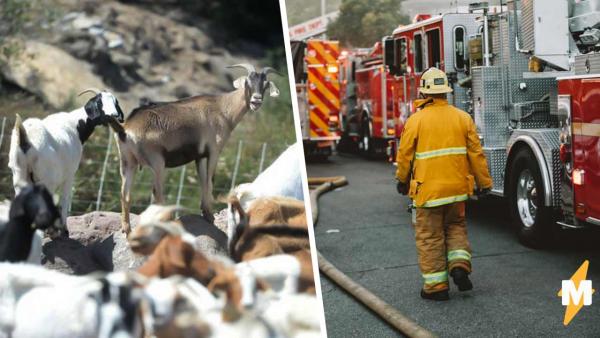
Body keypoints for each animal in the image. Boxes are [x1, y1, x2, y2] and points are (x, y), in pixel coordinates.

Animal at [7, 88, 124, 224]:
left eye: (115, 102)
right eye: (99, 102)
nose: (114, 115)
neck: (76, 125)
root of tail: (25, 137)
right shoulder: (70, 174)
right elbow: (65, 201)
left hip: (19, 177)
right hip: (46, 180)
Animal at [110, 63, 282, 234]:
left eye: (266, 84)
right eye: (247, 81)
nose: (256, 100)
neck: (222, 108)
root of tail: (125, 128)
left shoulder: (199, 156)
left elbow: (203, 180)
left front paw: (205, 212)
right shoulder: (213, 151)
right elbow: (210, 181)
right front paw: (209, 215)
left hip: (127, 164)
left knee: (125, 195)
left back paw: (127, 229)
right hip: (157, 162)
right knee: (156, 194)